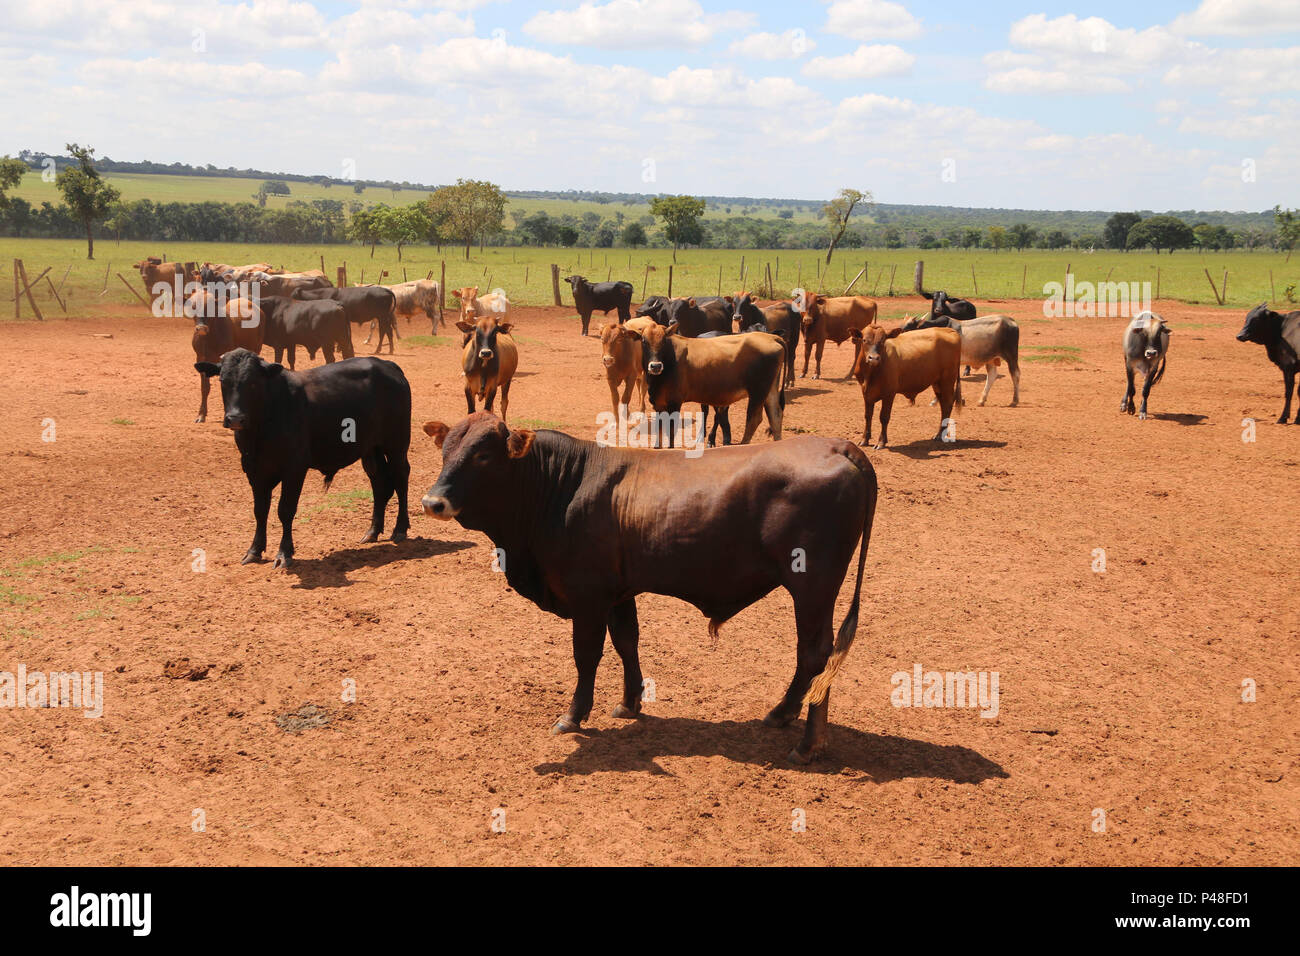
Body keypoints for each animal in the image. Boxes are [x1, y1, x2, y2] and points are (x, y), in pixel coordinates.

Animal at [193, 348, 410, 567]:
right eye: (223, 381)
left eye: (253, 382)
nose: (235, 419)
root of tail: (386, 365)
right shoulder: (254, 470)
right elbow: (260, 510)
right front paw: (254, 550)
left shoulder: (294, 469)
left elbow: (285, 510)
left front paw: (284, 553)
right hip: (371, 450)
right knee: (380, 484)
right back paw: (373, 531)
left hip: (397, 445)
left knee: (401, 479)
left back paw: (400, 529)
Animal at [421, 411, 878, 764]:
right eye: (446, 451)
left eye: (482, 454)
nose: (432, 502)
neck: (562, 487)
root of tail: (839, 446)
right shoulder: (619, 594)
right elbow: (627, 642)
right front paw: (630, 701)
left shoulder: (588, 597)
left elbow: (587, 656)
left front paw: (574, 715)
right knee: (811, 656)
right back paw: (781, 714)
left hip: (813, 586)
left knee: (816, 654)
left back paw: (807, 744)